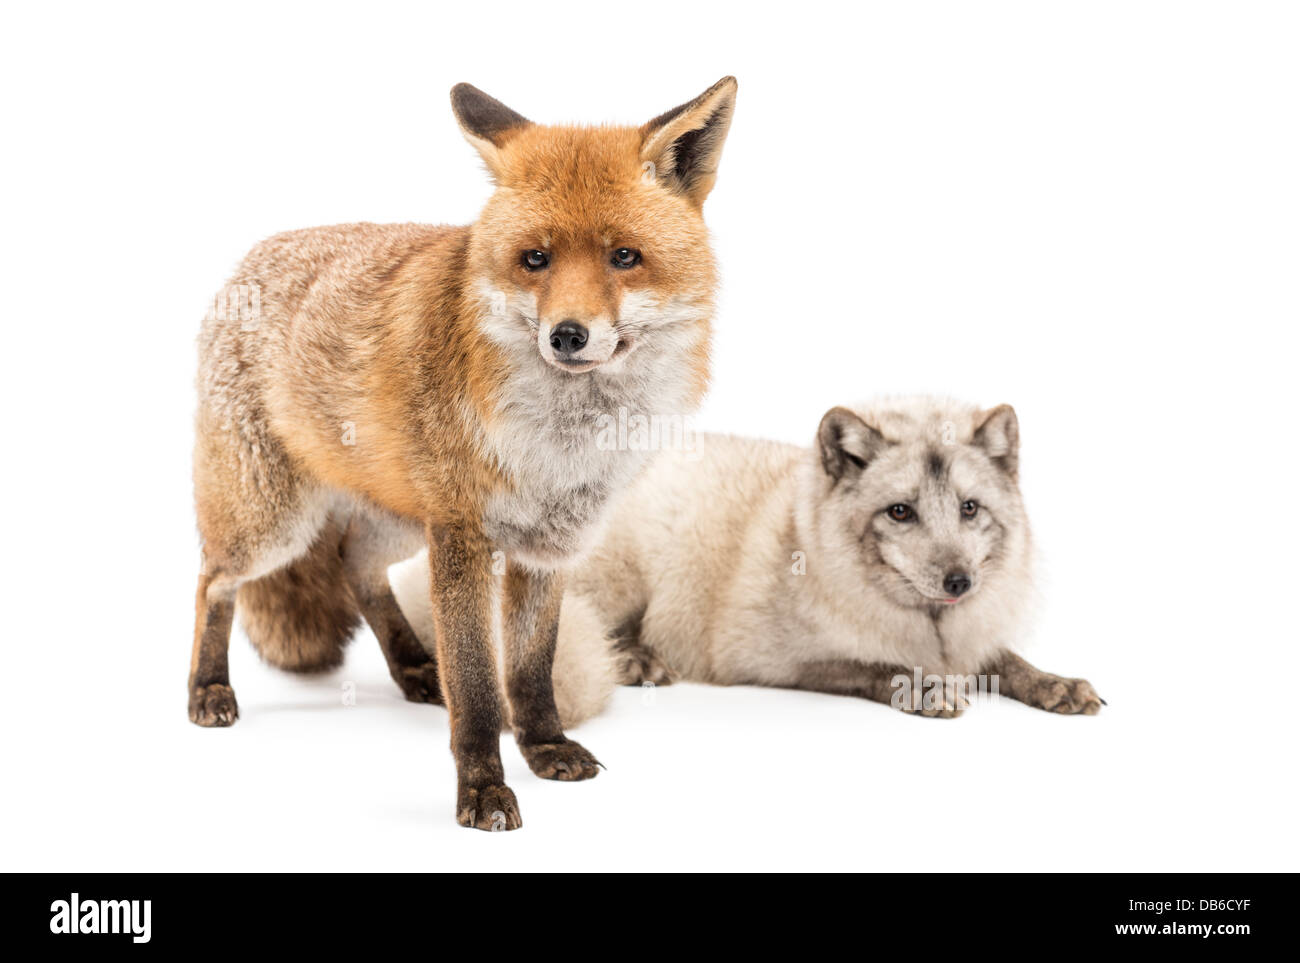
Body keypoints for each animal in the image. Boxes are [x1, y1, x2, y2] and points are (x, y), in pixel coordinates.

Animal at [193, 77, 743, 826]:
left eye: (624, 257)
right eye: (535, 259)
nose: (567, 334)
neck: (560, 442)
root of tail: (249, 259)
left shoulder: (547, 545)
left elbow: (530, 669)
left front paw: (545, 748)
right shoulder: (461, 537)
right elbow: (479, 684)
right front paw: (482, 788)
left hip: (397, 516)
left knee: (352, 564)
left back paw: (412, 666)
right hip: (274, 524)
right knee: (212, 581)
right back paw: (207, 688)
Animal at [390, 395, 1102, 722]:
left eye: (970, 508)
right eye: (900, 512)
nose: (959, 581)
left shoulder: (978, 637)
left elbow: (1008, 661)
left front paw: (1057, 684)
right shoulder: (768, 657)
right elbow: (871, 666)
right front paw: (922, 685)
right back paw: (638, 661)